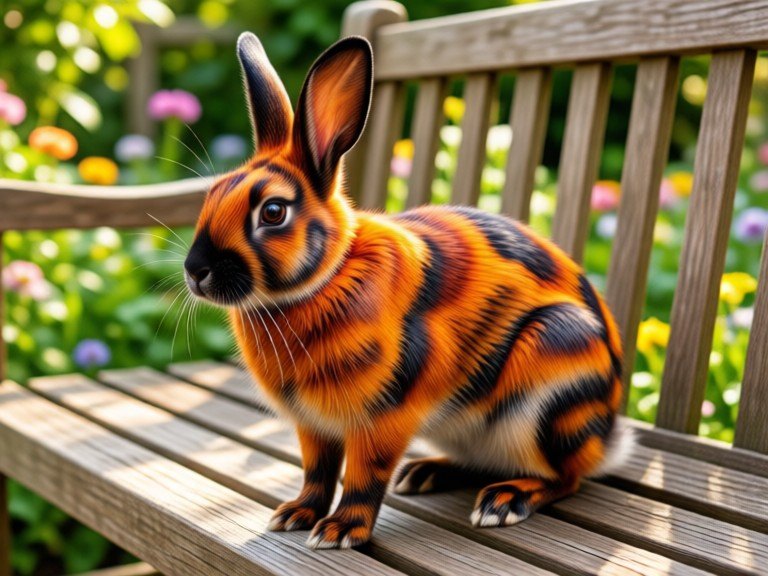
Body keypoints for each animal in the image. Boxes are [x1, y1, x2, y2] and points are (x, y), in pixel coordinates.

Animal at [183, 32, 632, 550]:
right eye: (212, 194)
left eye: (273, 212)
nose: (194, 271)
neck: (330, 276)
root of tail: (608, 436)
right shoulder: (313, 426)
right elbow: (317, 471)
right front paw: (295, 514)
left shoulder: (383, 416)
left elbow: (364, 475)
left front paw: (339, 531)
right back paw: (425, 474)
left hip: (554, 375)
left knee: (564, 477)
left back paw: (503, 501)